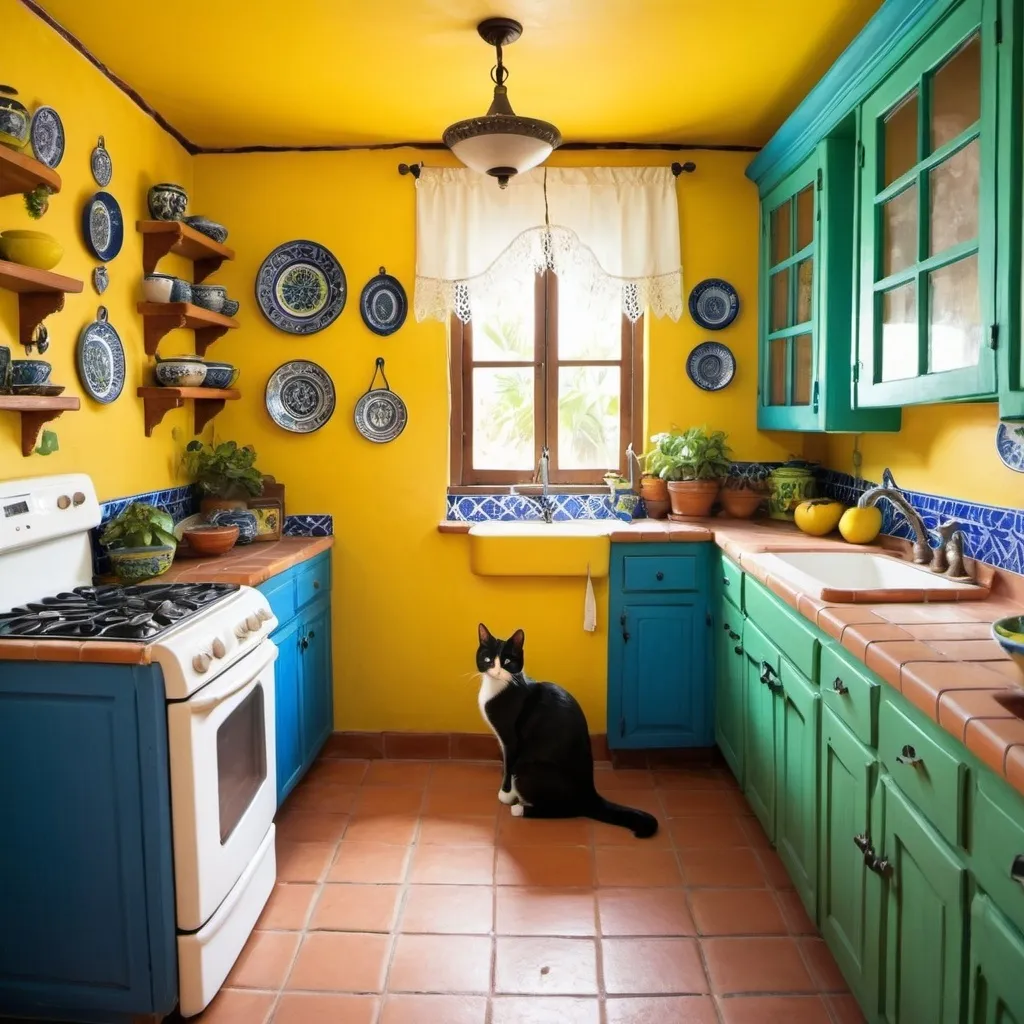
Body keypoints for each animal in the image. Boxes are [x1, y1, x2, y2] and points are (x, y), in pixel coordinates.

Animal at [477, 618, 659, 835]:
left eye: (507, 662)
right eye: (488, 659)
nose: (496, 671)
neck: (498, 687)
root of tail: (589, 794)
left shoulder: (511, 740)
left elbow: (508, 765)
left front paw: (506, 795)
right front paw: (510, 794)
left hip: (528, 768)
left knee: (568, 809)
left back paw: (521, 809)